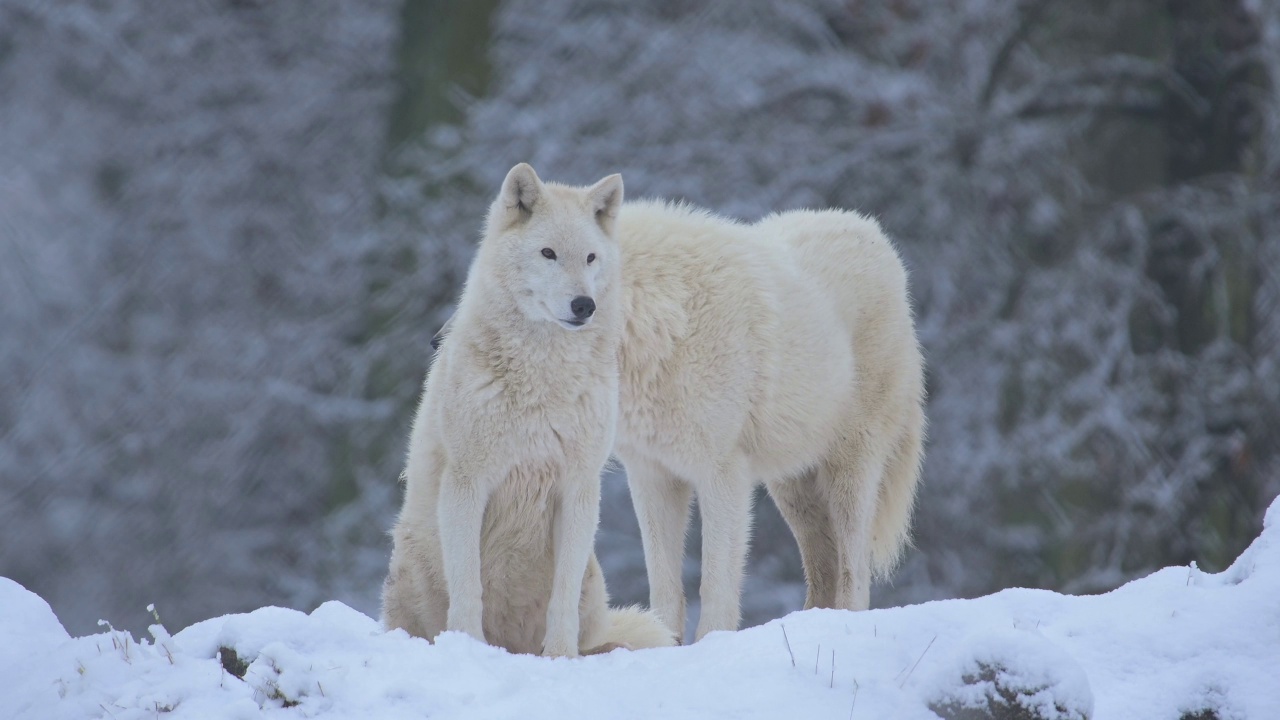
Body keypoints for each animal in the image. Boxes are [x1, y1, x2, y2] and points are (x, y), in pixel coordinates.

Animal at [378, 163, 675, 655]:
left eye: (591, 258)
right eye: (548, 253)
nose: (584, 305)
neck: (543, 378)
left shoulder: (578, 487)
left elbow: (562, 596)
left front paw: (560, 657)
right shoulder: (467, 482)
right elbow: (468, 587)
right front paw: (468, 647)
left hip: (593, 573)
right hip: (414, 553)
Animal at [422, 165, 931, 640]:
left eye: (589, 258)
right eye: (547, 255)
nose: (437, 339)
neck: (664, 326)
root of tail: (873, 233)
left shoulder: (723, 475)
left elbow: (715, 583)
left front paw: (712, 643)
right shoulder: (651, 474)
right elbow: (665, 586)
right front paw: (664, 642)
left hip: (850, 471)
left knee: (854, 571)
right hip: (792, 485)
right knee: (823, 568)